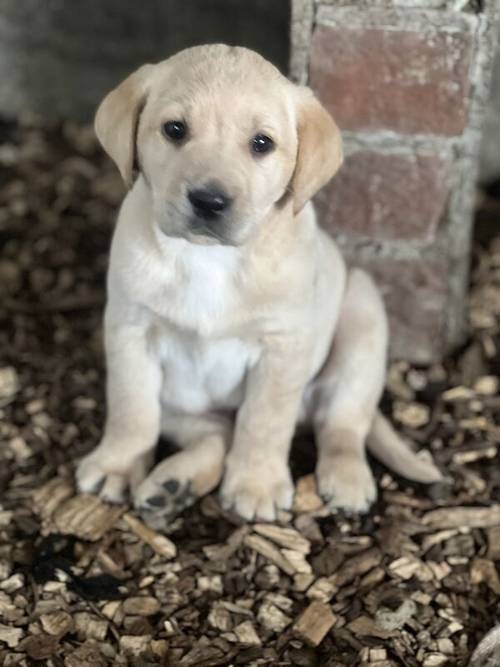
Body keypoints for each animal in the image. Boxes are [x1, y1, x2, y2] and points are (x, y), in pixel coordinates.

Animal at [75, 44, 442, 528]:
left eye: (262, 143)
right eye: (175, 130)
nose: (209, 201)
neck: (208, 258)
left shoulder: (283, 345)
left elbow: (263, 420)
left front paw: (256, 485)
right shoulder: (130, 329)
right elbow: (131, 408)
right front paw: (117, 464)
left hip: (363, 313)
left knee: (341, 421)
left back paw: (346, 479)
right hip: (183, 403)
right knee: (215, 435)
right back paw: (172, 485)